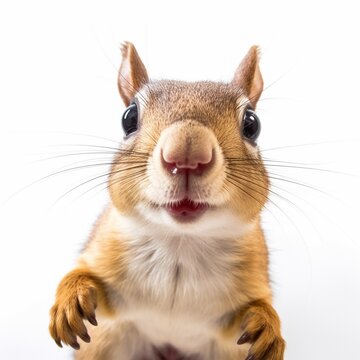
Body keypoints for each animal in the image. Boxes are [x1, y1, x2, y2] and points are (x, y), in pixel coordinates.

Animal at [50, 42, 286, 360]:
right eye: (128, 117)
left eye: (252, 124)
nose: (186, 155)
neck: (180, 245)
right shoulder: (104, 265)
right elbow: (82, 273)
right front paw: (70, 299)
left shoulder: (246, 291)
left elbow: (256, 306)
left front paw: (267, 325)